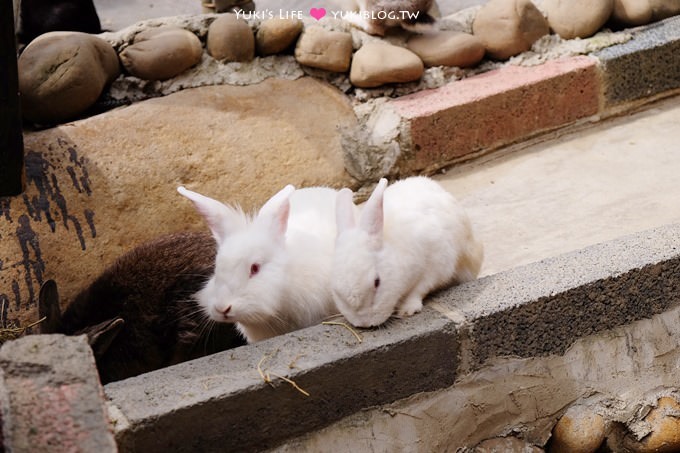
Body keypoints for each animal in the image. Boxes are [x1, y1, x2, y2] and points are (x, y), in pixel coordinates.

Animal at [330, 175, 480, 326]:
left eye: (377, 282)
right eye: (336, 290)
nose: (365, 324)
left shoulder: (436, 265)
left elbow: (419, 289)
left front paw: (408, 310)